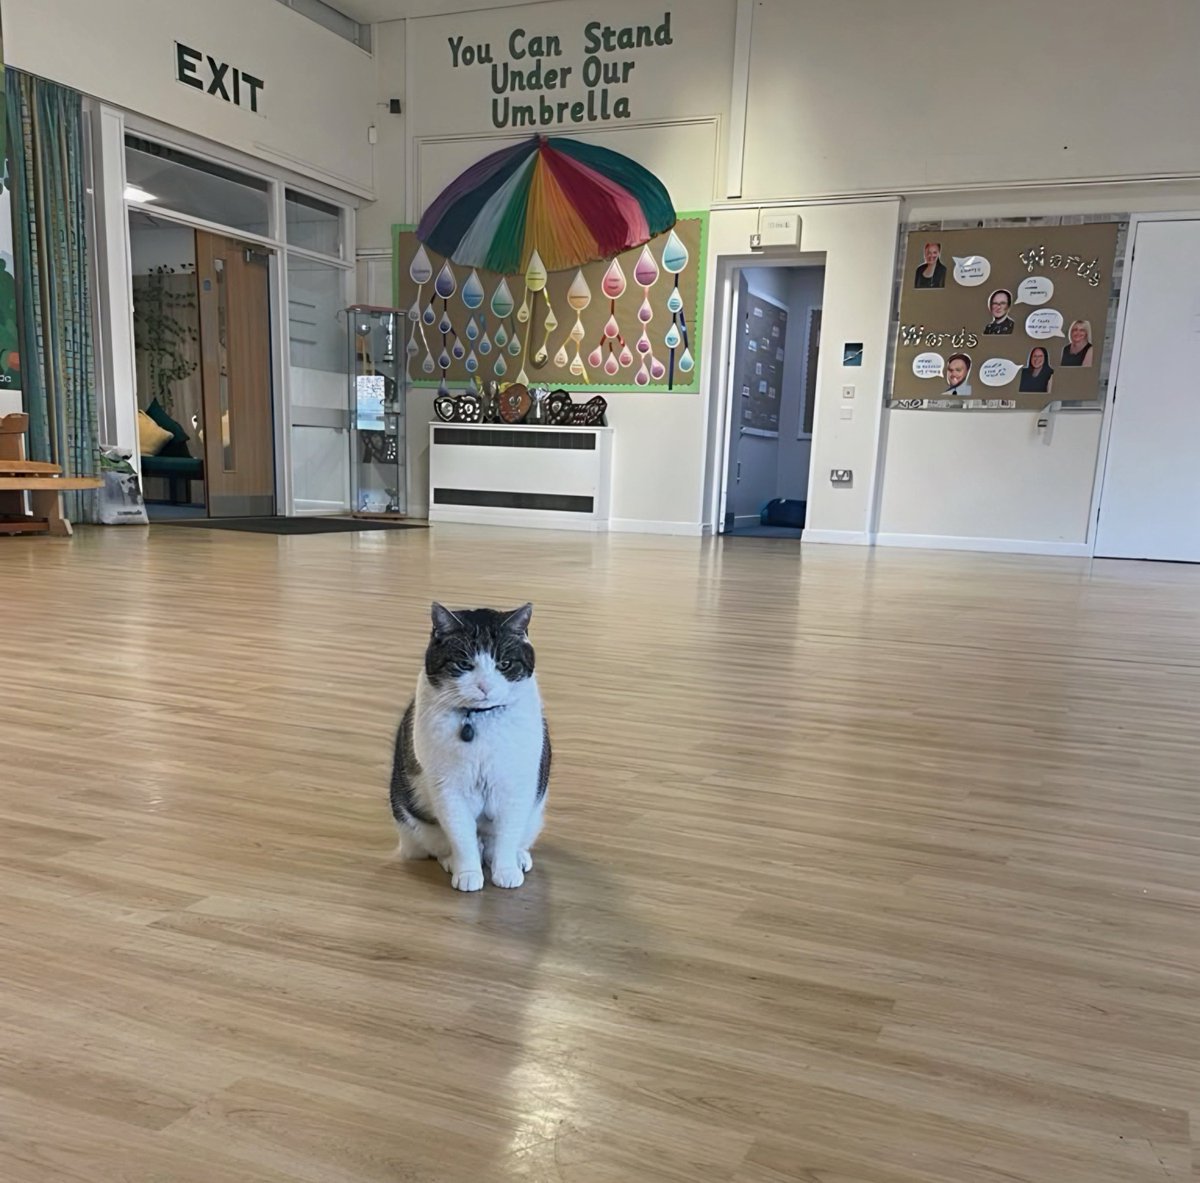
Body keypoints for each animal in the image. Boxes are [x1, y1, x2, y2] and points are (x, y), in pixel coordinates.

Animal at [388, 604, 549, 887]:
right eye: (464, 664)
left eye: (504, 664)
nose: (484, 686)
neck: (478, 719)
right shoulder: (449, 789)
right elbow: (462, 838)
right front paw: (468, 874)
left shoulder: (514, 787)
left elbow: (506, 836)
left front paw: (506, 871)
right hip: (414, 823)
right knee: (445, 845)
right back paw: (452, 860)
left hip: (534, 814)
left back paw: (517, 858)